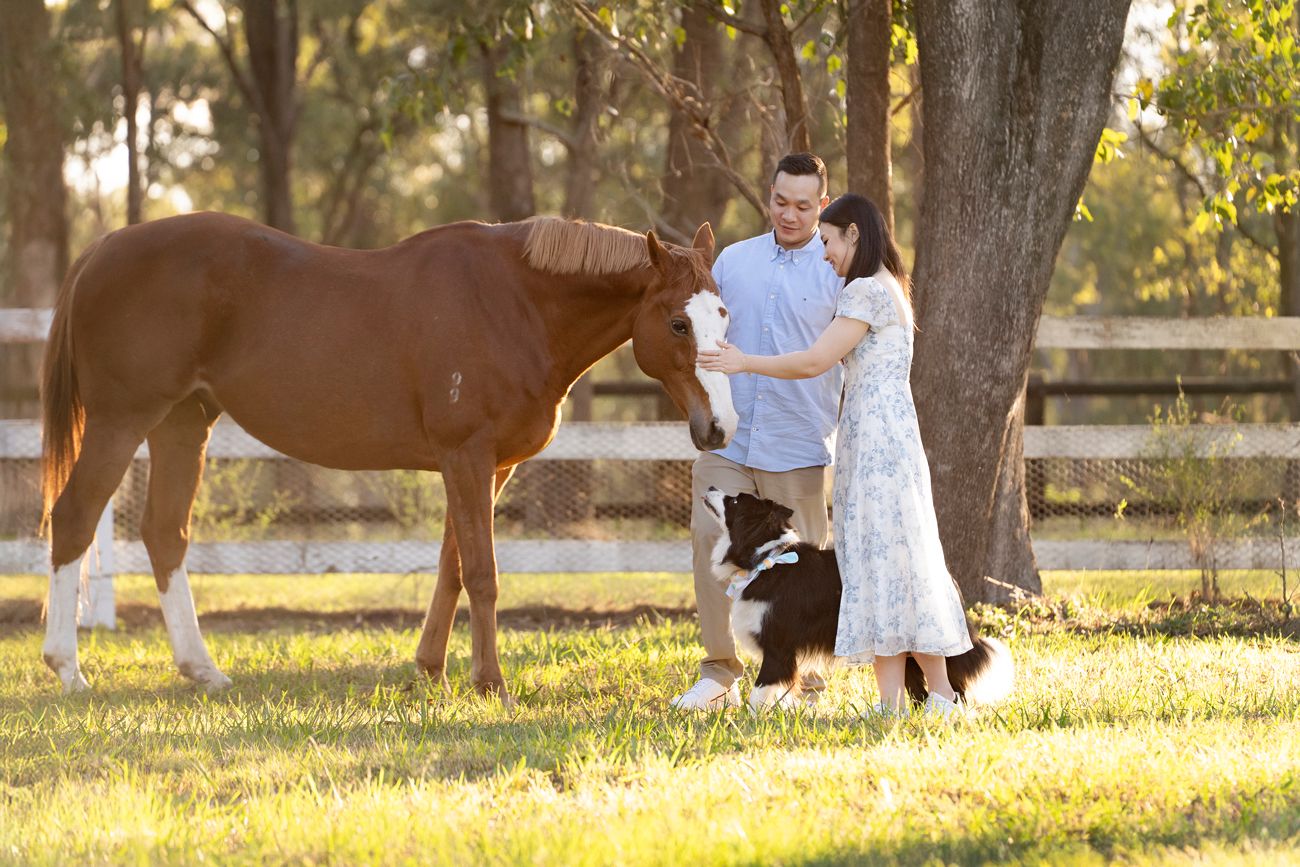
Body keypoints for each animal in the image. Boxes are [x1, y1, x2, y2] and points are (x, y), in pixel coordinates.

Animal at [39, 211, 736, 700]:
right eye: (678, 323)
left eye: (725, 316)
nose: (719, 427)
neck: (515, 303)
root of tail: (103, 249)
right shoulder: (467, 457)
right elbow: (481, 572)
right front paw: (491, 684)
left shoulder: (489, 467)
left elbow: (452, 567)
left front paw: (431, 671)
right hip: (121, 420)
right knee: (74, 518)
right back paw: (67, 669)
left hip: (182, 423)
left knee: (165, 533)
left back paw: (201, 670)